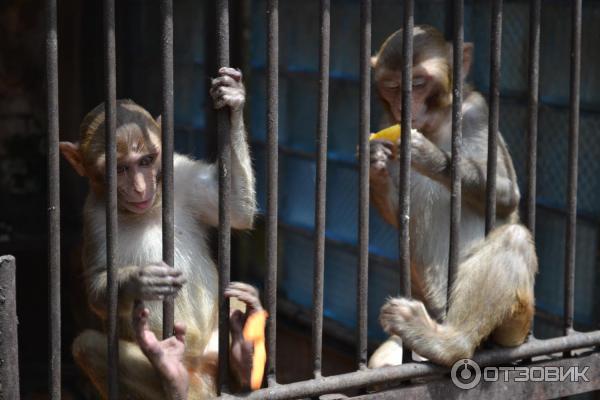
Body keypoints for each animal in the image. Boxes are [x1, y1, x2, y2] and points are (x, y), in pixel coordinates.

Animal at [59, 67, 264, 398]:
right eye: (120, 169)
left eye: (146, 160)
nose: (140, 187)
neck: (150, 209)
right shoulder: (94, 217)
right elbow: (97, 285)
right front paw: (138, 280)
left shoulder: (180, 173)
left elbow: (235, 207)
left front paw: (232, 100)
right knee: (88, 346)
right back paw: (172, 374)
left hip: (214, 352)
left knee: (230, 301)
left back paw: (242, 355)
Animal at [368, 25, 536, 368]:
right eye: (392, 86)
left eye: (418, 82)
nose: (406, 107)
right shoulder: (386, 123)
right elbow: (396, 214)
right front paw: (375, 161)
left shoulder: (477, 115)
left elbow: (507, 193)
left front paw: (431, 156)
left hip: (515, 323)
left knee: (512, 238)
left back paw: (447, 343)